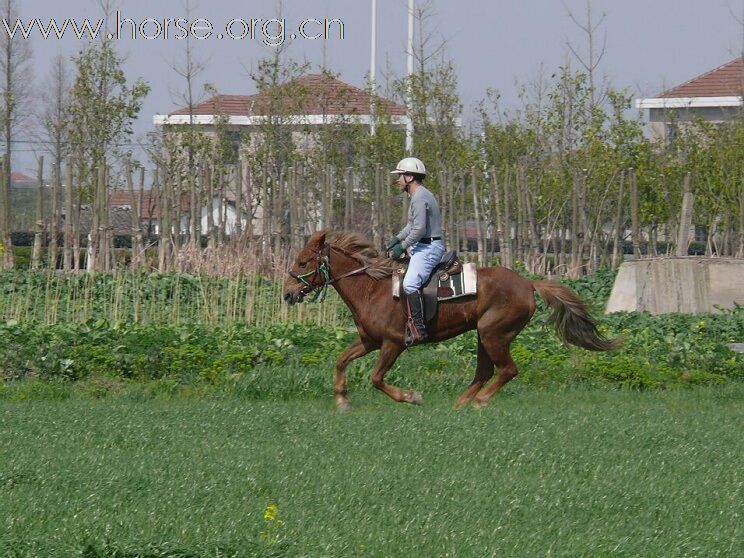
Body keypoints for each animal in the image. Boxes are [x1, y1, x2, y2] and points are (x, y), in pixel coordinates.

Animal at [282, 231, 620, 412]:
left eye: (303, 261)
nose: (287, 293)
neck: (371, 288)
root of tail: (528, 282)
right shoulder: (369, 341)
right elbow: (341, 360)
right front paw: (342, 400)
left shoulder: (393, 344)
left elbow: (376, 378)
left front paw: (411, 397)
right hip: (484, 335)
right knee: (485, 372)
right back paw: (459, 405)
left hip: (494, 334)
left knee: (507, 370)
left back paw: (479, 402)